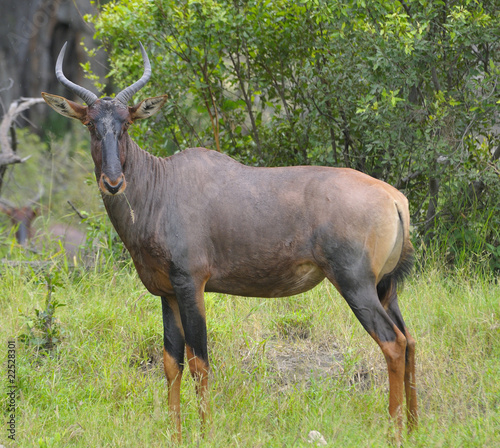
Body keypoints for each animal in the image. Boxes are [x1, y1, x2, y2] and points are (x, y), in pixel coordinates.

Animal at [42, 41, 418, 440]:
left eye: (126, 124)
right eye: (90, 124)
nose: (113, 183)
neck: (163, 183)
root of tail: (394, 198)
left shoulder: (191, 285)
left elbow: (199, 362)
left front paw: (205, 434)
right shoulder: (167, 293)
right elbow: (171, 363)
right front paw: (176, 435)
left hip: (355, 284)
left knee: (393, 343)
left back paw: (394, 432)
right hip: (386, 286)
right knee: (409, 340)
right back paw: (414, 428)